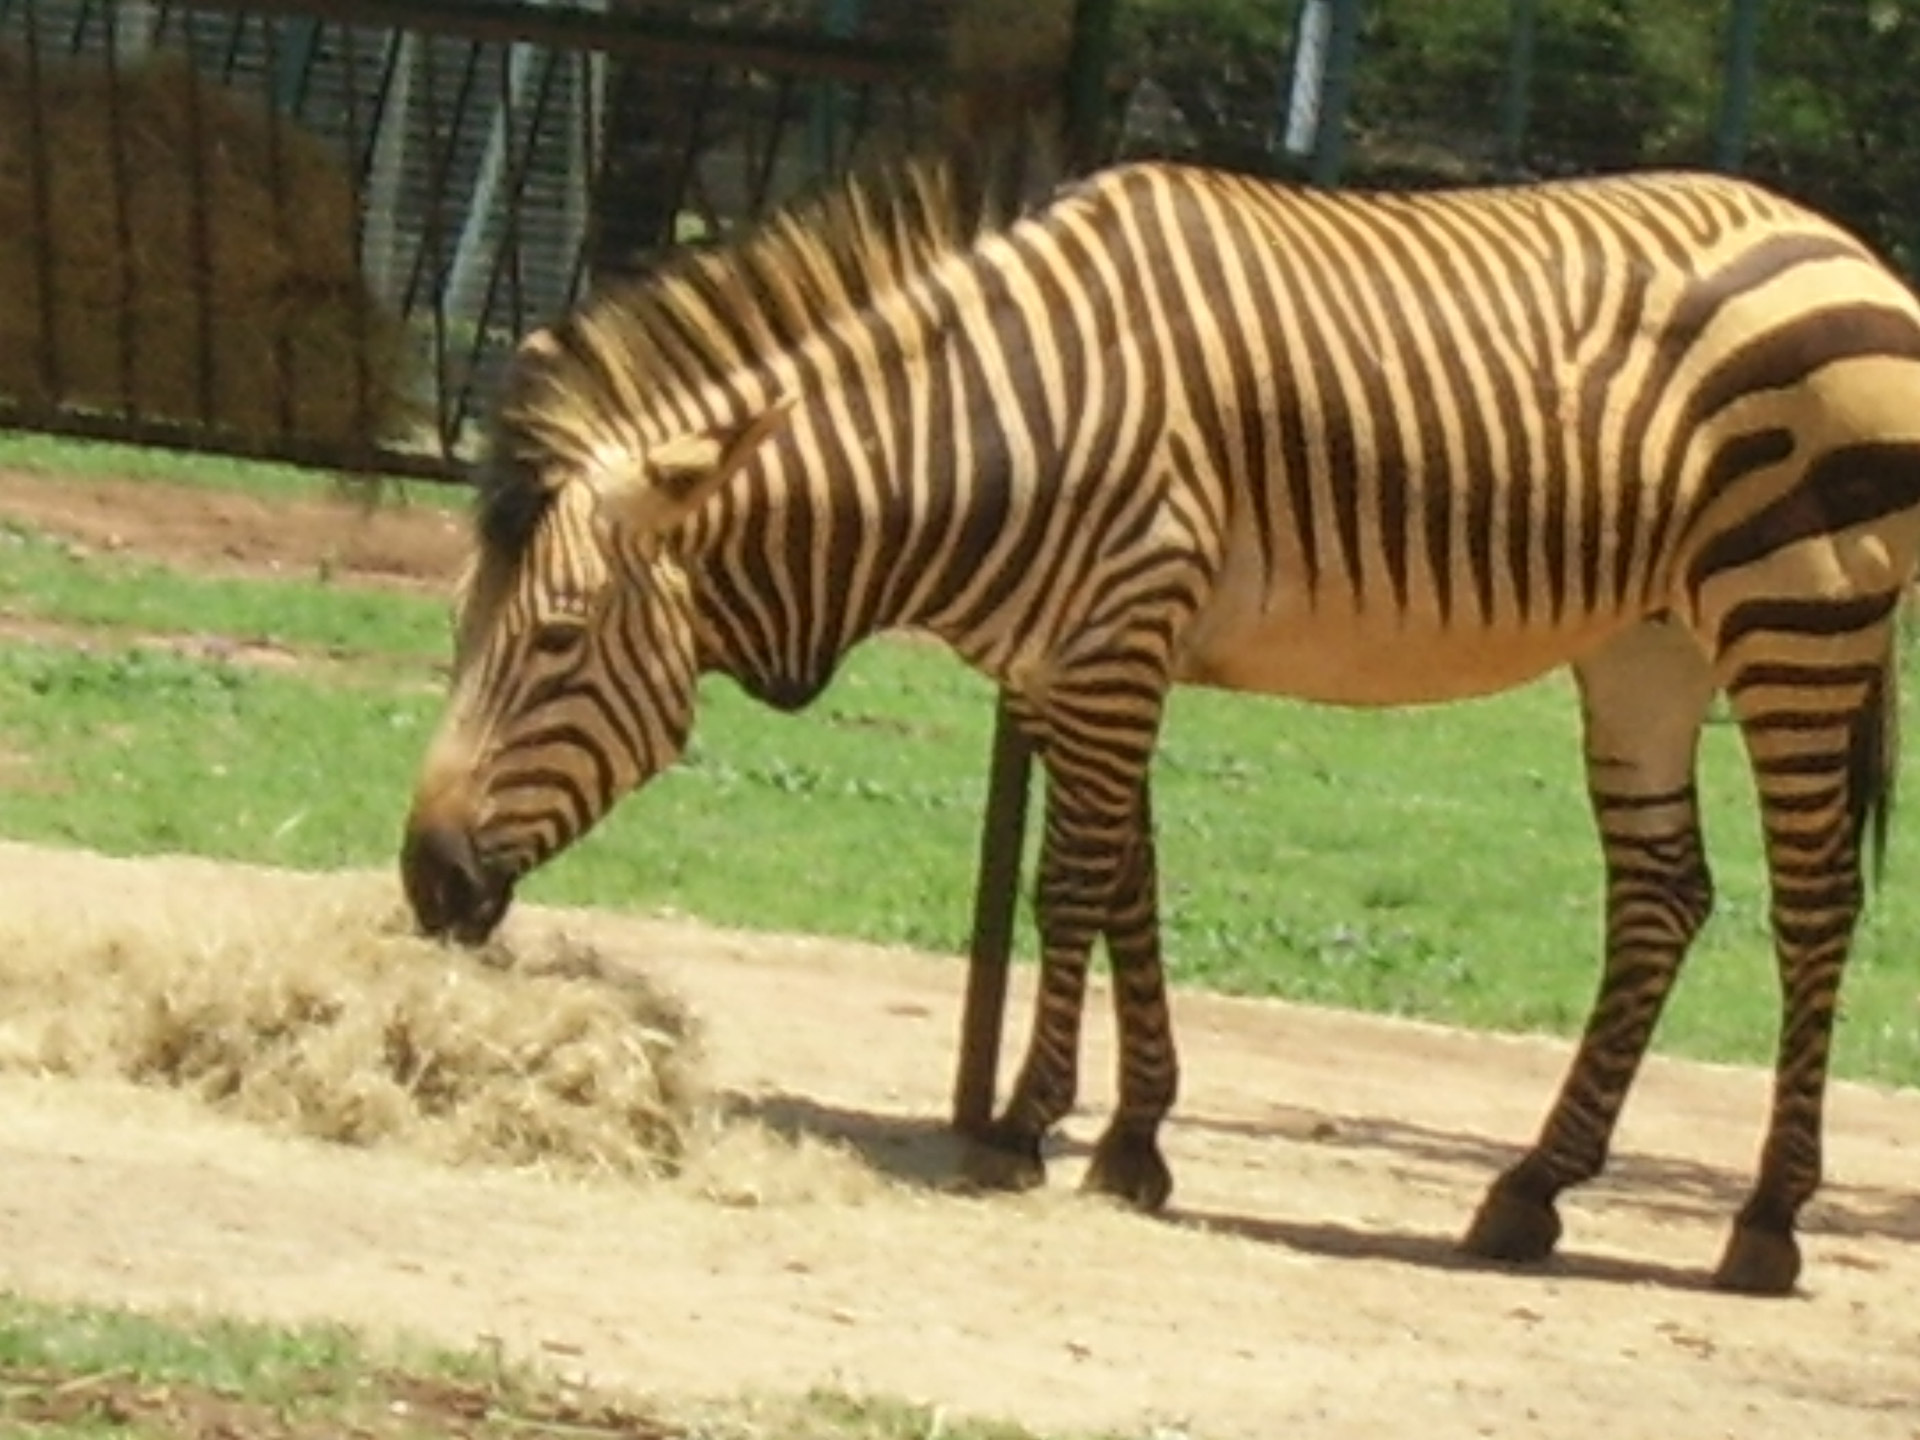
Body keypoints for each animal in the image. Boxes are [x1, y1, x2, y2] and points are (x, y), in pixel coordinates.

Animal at [397, 146, 1920, 1297]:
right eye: (460, 630)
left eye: (556, 641)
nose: (424, 881)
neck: (985, 440)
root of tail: (1842, 243)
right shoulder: (1075, 660)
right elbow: (1128, 880)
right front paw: (1133, 1141)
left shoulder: (1119, 633)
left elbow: (1070, 882)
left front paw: (1023, 1129)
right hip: (1647, 643)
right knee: (1663, 895)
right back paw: (1531, 1190)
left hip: (1797, 612)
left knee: (1811, 904)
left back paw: (1766, 1225)